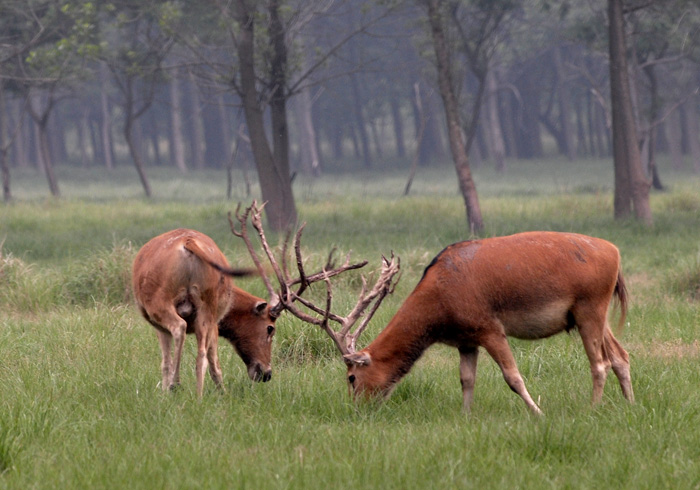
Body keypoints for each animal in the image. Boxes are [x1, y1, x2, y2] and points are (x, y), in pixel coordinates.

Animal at [133, 228, 278, 396]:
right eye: (270, 328)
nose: (267, 373)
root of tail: (189, 242)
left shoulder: (160, 327)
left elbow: (166, 362)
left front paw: (164, 393)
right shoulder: (214, 324)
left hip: (159, 302)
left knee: (180, 328)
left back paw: (176, 385)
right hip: (205, 307)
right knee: (201, 356)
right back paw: (197, 396)